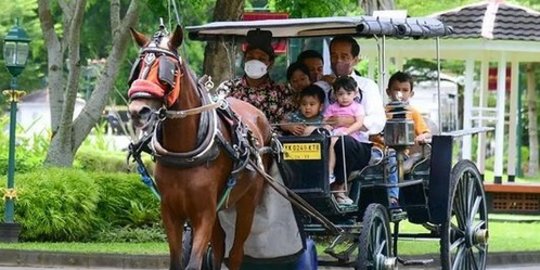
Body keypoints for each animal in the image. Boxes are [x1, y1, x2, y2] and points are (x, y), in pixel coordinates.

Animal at [125, 23, 270, 270]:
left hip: (247, 202)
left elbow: (193, 263)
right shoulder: (170, 211)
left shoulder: (204, 212)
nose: (138, 111)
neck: (184, 152)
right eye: (139, 68)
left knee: (236, 253)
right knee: (220, 246)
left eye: (168, 70)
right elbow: (177, 261)